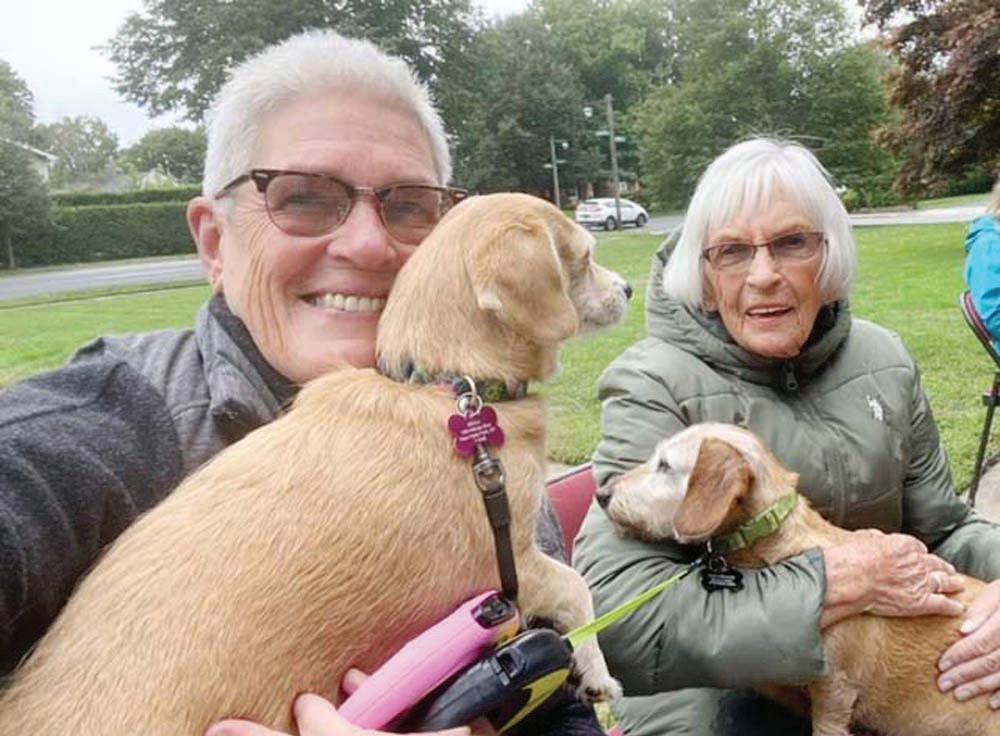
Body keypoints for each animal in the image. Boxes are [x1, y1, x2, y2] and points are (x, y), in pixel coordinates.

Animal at [0, 193, 627, 734]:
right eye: (585, 257)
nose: (625, 285)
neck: (443, 384)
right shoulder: (515, 563)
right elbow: (577, 589)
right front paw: (596, 673)